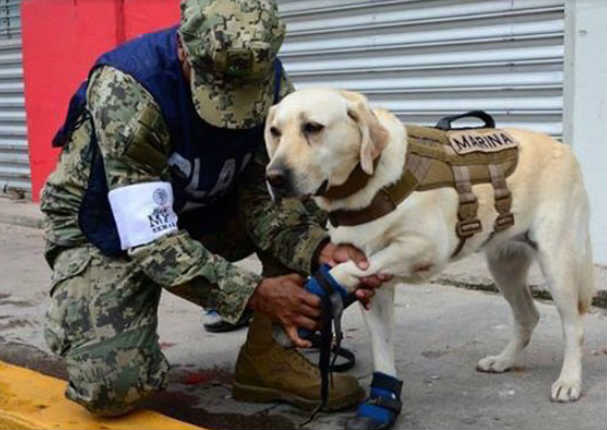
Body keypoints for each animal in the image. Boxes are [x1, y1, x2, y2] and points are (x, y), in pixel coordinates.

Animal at [264, 89, 592, 428]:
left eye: (313, 128)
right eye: (274, 132)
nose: (274, 177)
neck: (367, 184)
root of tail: (563, 147)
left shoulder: (426, 247)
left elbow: (347, 269)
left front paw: (317, 291)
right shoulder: (377, 289)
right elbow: (382, 349)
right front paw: (382, 402)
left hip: (557, 262)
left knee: (574, 325)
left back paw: (569, 380)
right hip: (504, 265)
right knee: (528, 315)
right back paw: (503, 360)